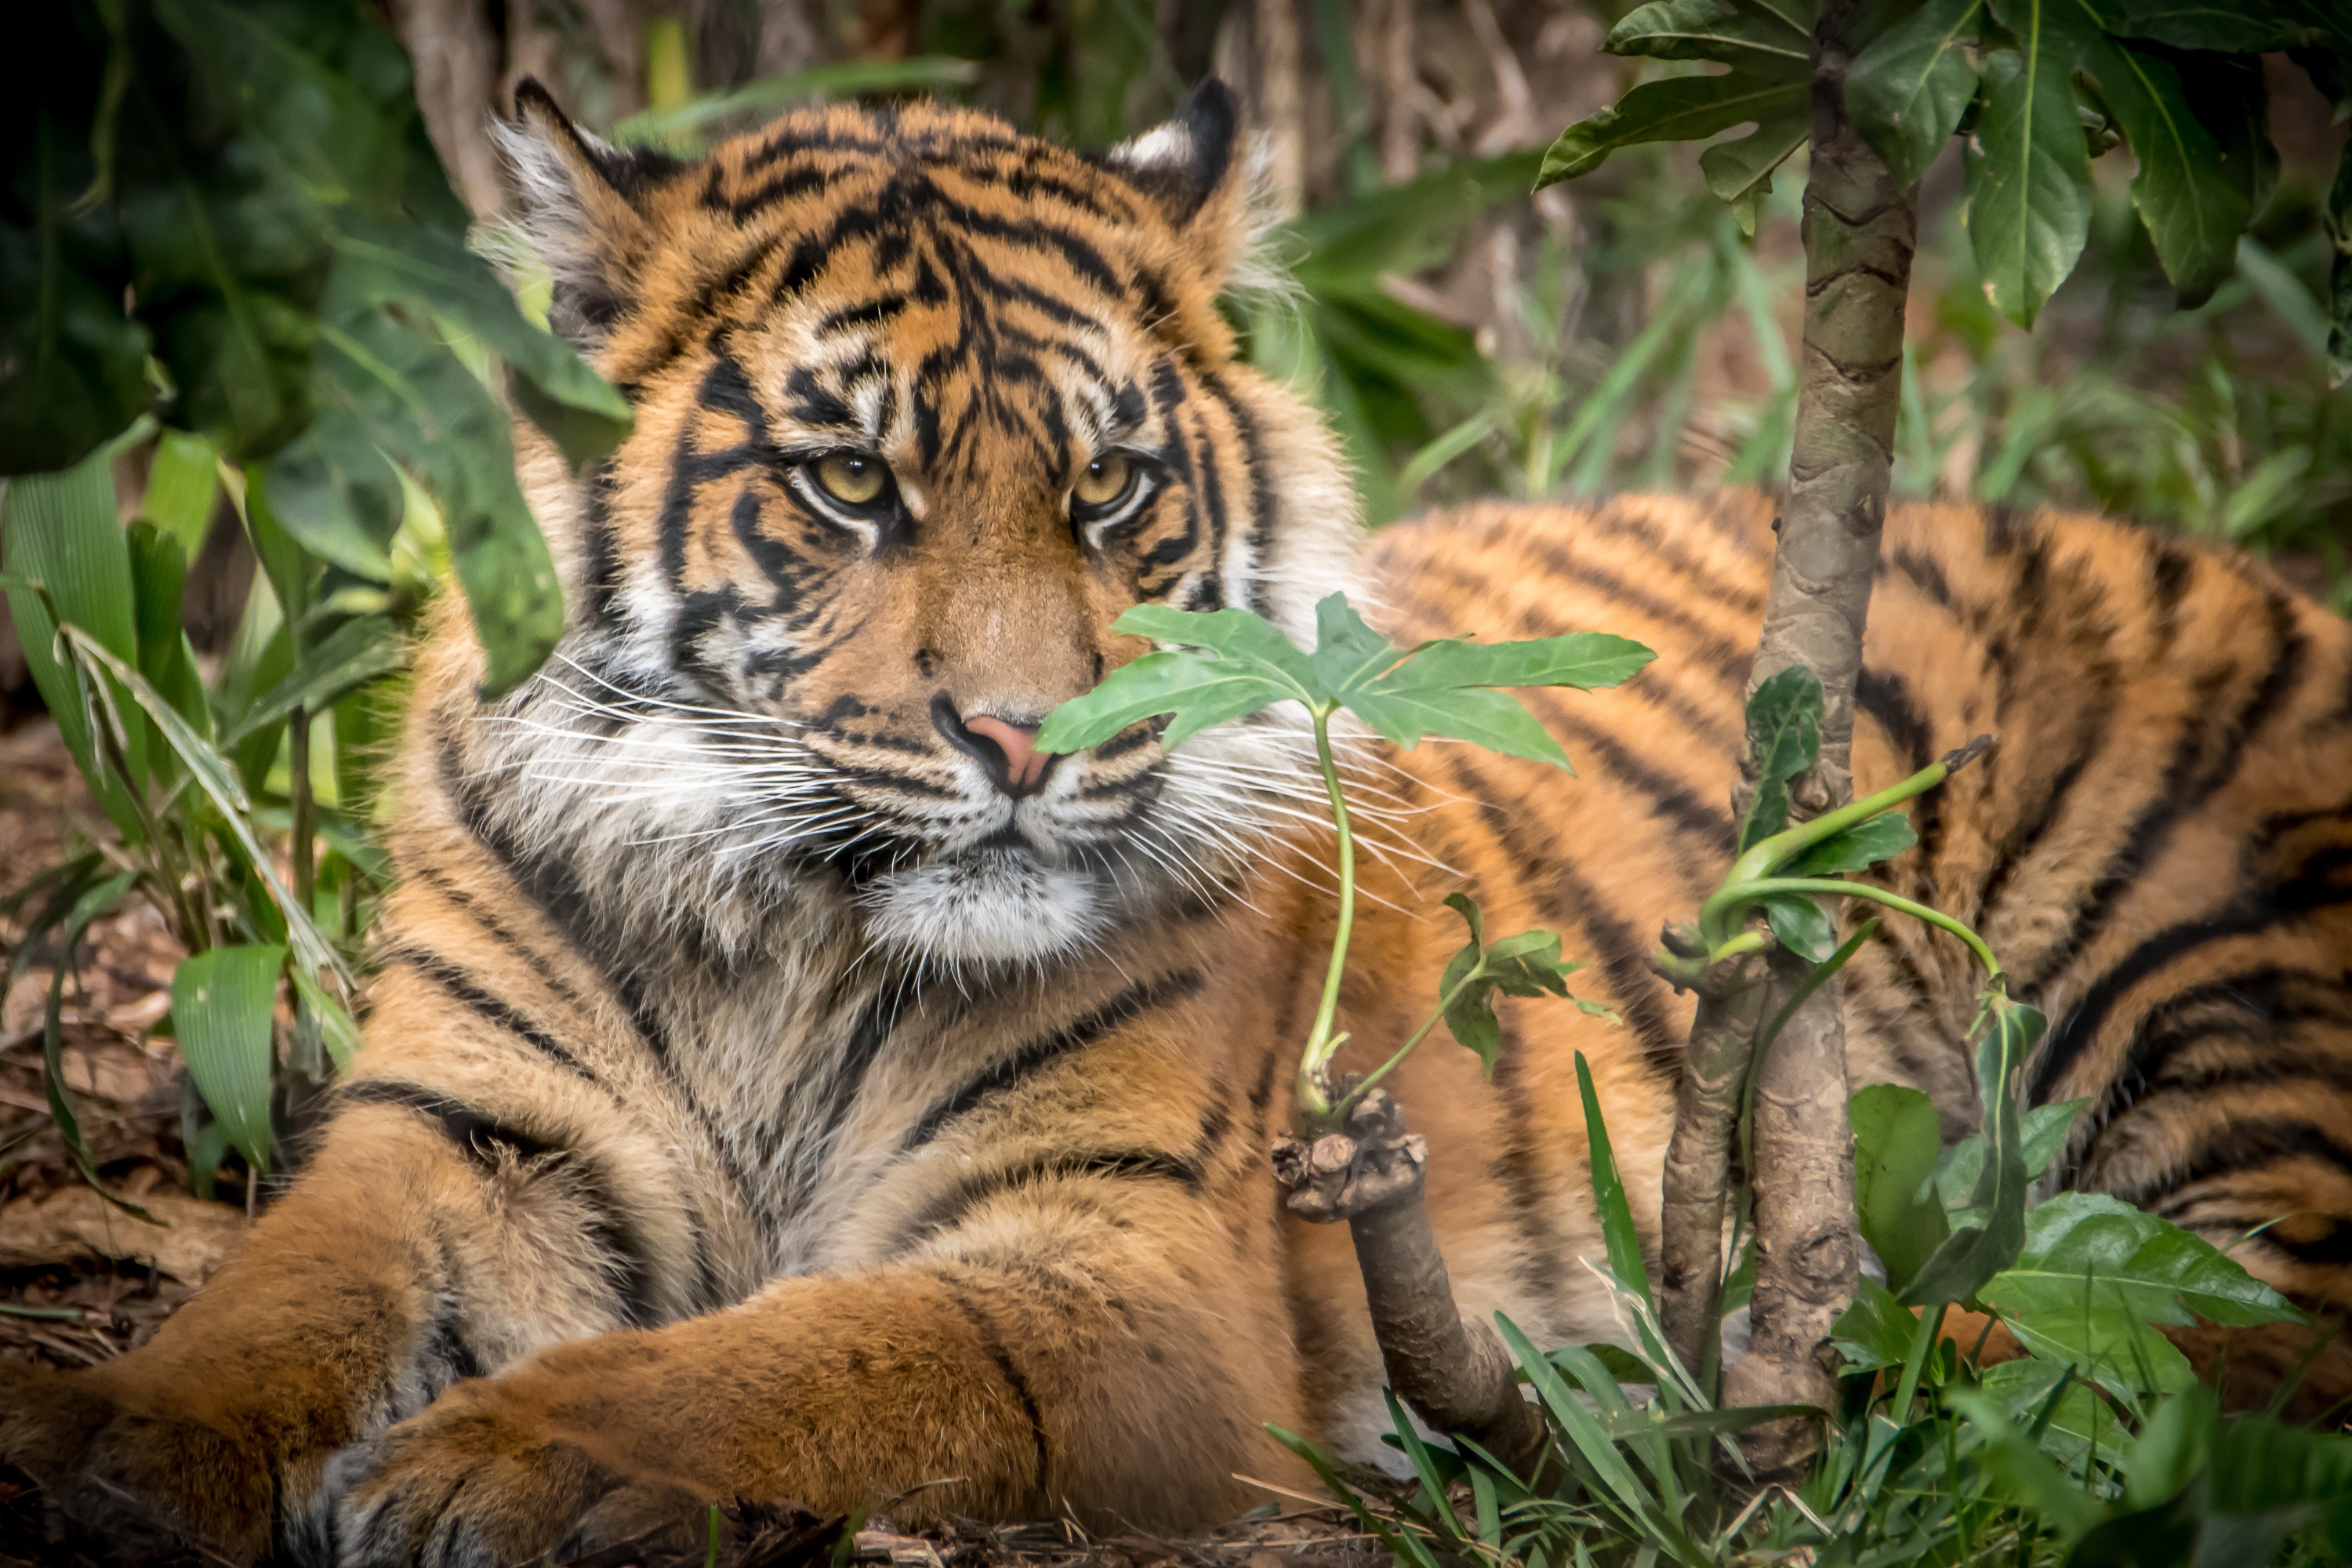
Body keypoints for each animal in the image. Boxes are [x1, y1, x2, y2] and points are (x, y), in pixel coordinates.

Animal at [4, 76, 2352, 1568]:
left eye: (1114, 488)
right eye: (850, 484)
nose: (1033, 736)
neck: (790, 931)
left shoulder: (1118, 1265)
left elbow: (805, 1353)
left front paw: (507, 1456)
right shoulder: (467, 1130)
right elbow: (285, 1295)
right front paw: (100, 1450)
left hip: (2206, 995)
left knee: (2208, 1333)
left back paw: (1751, 1385)